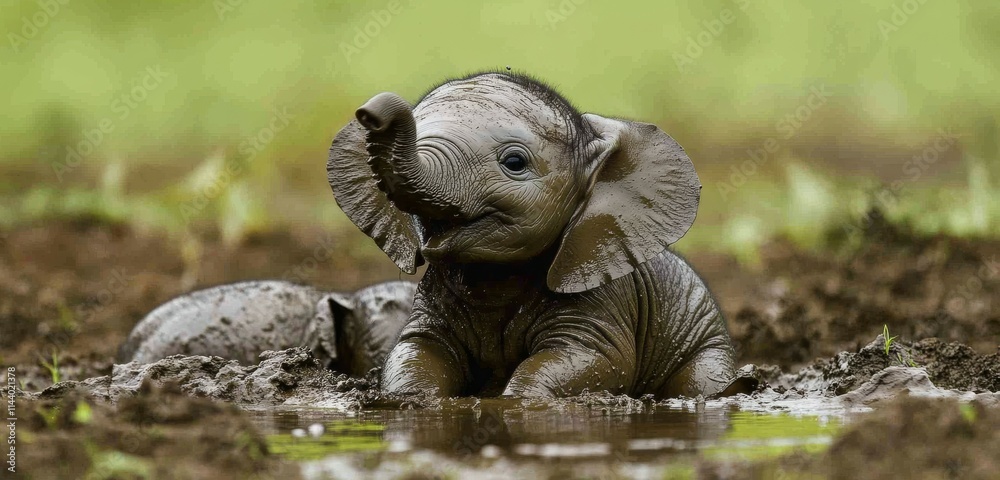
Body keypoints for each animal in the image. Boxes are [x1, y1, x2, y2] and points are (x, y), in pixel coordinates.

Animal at [327, 71, 750, 398]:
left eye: (514, 162)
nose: (369, 112)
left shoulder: (604, 294)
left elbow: (592, 358)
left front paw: (513, 404)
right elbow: (416, 353)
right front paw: (413, 401)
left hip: (706, 344)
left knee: (699, 382)